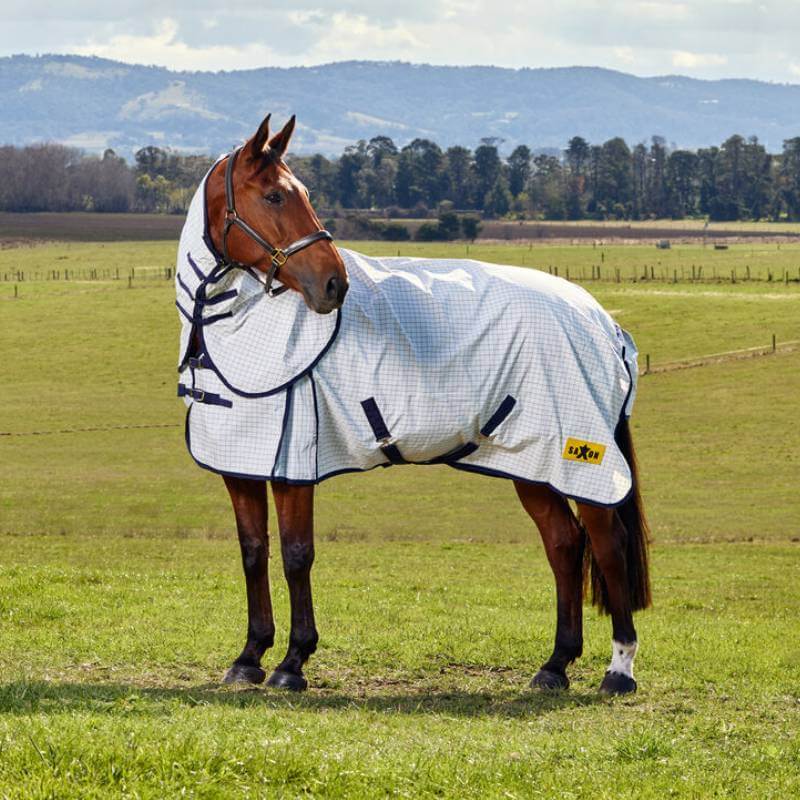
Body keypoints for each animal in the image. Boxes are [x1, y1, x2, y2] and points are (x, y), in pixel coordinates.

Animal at [179, 112, 651, 697]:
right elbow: (253, 552)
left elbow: (296, 554)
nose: (334, 284)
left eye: (300, 194)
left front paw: (293, 662)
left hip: (578, 456)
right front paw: (249, 656)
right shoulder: (240, 463)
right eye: (272, 195)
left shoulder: (294, 466)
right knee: (564, 545)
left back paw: (619, 670)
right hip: (532, 462)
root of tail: (603, 322)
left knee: (607, 544)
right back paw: (555, 666)